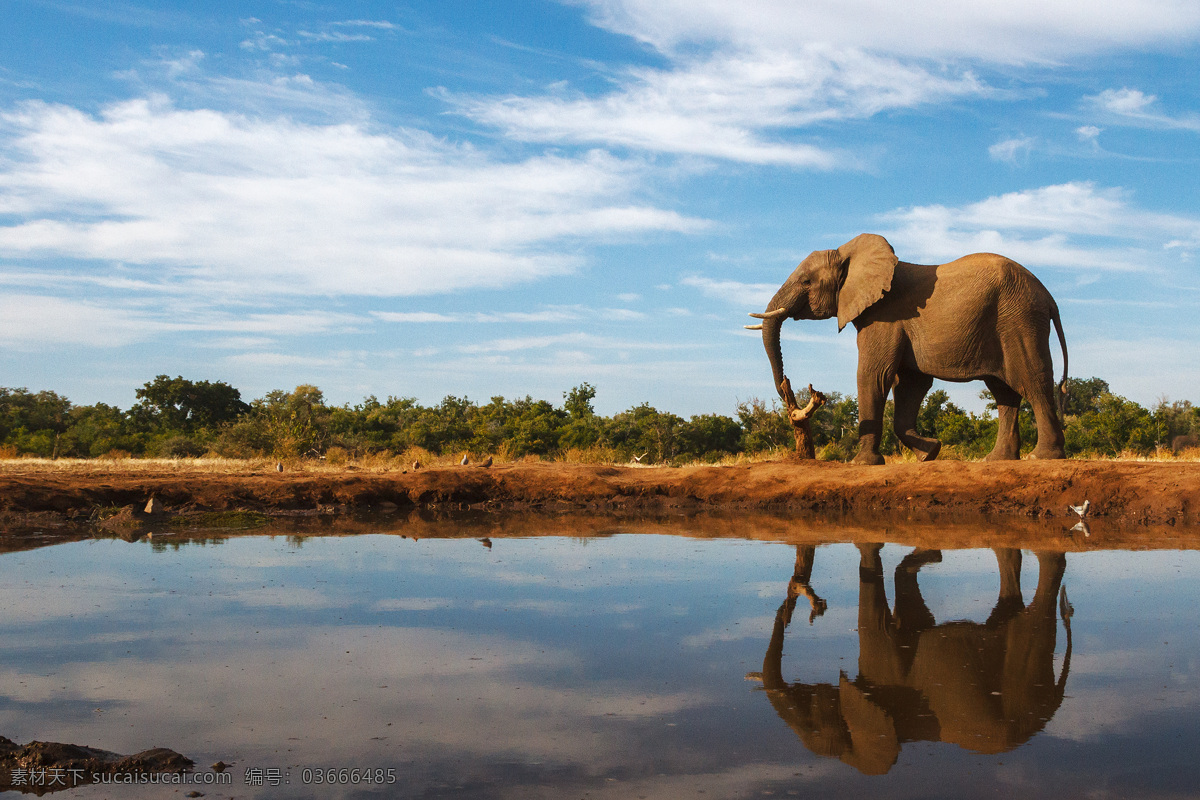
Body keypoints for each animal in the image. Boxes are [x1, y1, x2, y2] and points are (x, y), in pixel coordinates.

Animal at [747, 234, 1068, 464]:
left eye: (806, 282)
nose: (789, 391)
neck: (847, 252)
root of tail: (1048, 296)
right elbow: (910, 384)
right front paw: (930, 453)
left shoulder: (884, 316)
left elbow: (874, 375)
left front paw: (862, 464)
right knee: (1004, 392)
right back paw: (997, 460)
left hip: (1019, 320)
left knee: (1032, 381)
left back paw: (1041, 457)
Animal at [758, 544, 1071, 774]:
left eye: (811, 722)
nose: (814, 605)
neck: (854, 754)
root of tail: (1051, 706)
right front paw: (933, 555)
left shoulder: (884, 674)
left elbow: (876, 617)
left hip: (1023, 680)